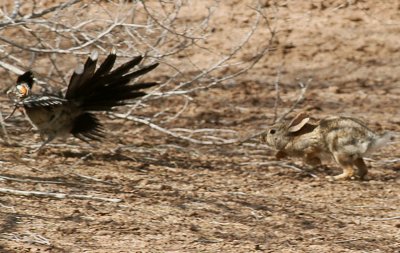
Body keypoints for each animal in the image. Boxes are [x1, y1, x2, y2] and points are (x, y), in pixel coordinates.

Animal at [260, 112, 392, 180]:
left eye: (272, 132)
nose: (261, 137)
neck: (291, 137)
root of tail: (371, 139)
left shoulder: (310, 146)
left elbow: (308, 157)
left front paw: (316, 162)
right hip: (355, 156)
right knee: (363, 169)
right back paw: (356, 177)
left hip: (338, 153)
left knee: (349, 170)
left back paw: (333, 178)